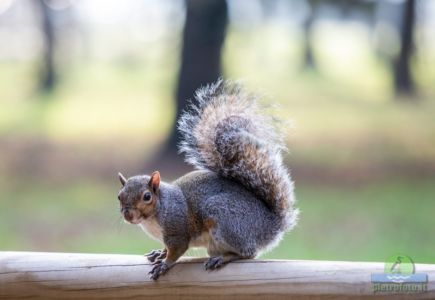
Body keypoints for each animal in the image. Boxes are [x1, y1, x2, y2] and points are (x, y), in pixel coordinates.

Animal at [116, 79, 300, 278]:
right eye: (119, 196)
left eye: (147, 196)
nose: (128, 214)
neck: (155, 214)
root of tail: (271, 226)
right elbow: (166, 249)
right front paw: (160, 253)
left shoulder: (178, 230)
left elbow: (176, 251)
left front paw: (164, 264)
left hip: (226, 218)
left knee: (248, 253)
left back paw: (223, 258)